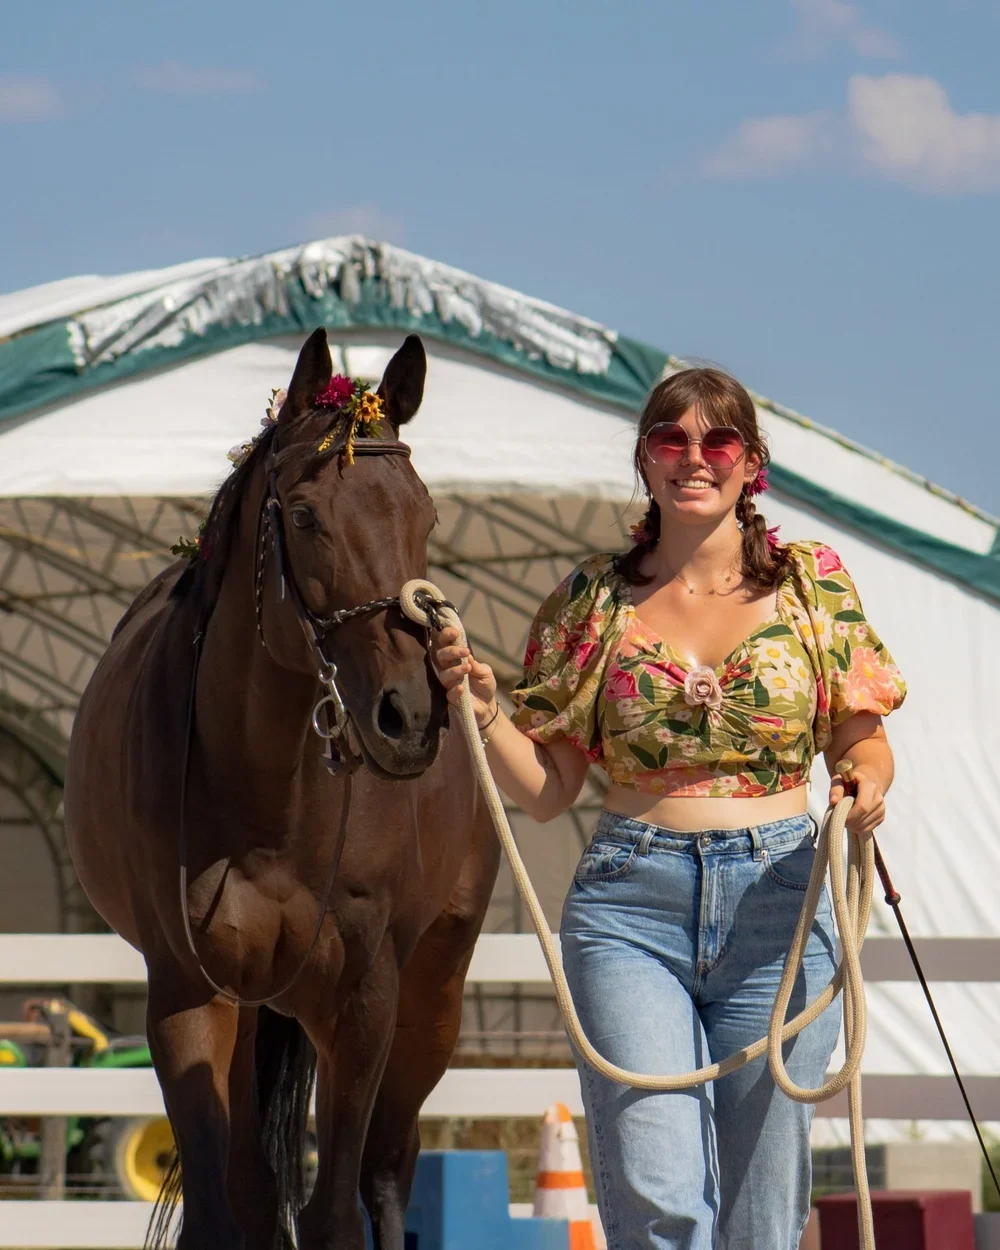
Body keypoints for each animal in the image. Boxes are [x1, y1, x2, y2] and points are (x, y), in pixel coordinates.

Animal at [64, 328, 500, 1250]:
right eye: (304, 517)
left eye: (426, 516)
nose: (411, 717)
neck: (269, 798)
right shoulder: (187, 997)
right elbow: (223, 1209)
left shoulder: (364, 1005)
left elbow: (335, 1212)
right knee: (258, 1189)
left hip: (433, 1001)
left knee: (385, 1173)